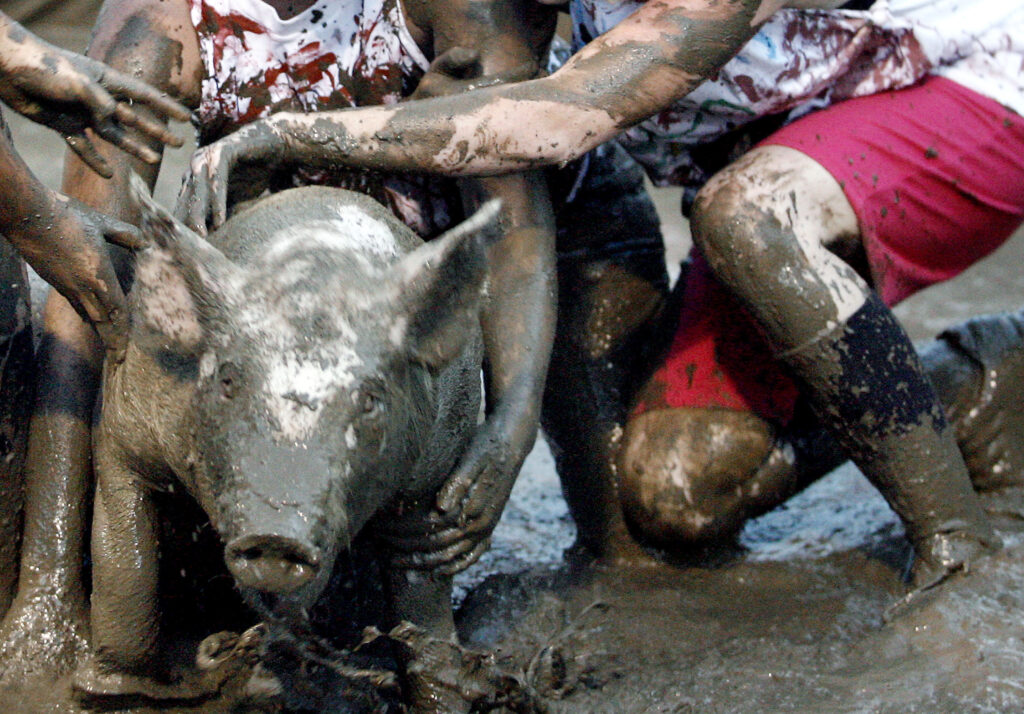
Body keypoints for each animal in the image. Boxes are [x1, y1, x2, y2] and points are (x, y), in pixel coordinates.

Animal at [73, 174, 502, 711]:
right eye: (228, 380)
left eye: (370, 400)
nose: (276, 534)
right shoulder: (126, 422)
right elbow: (124, 564)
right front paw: (114, 690)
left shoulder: (437, 464)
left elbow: (421, 593)